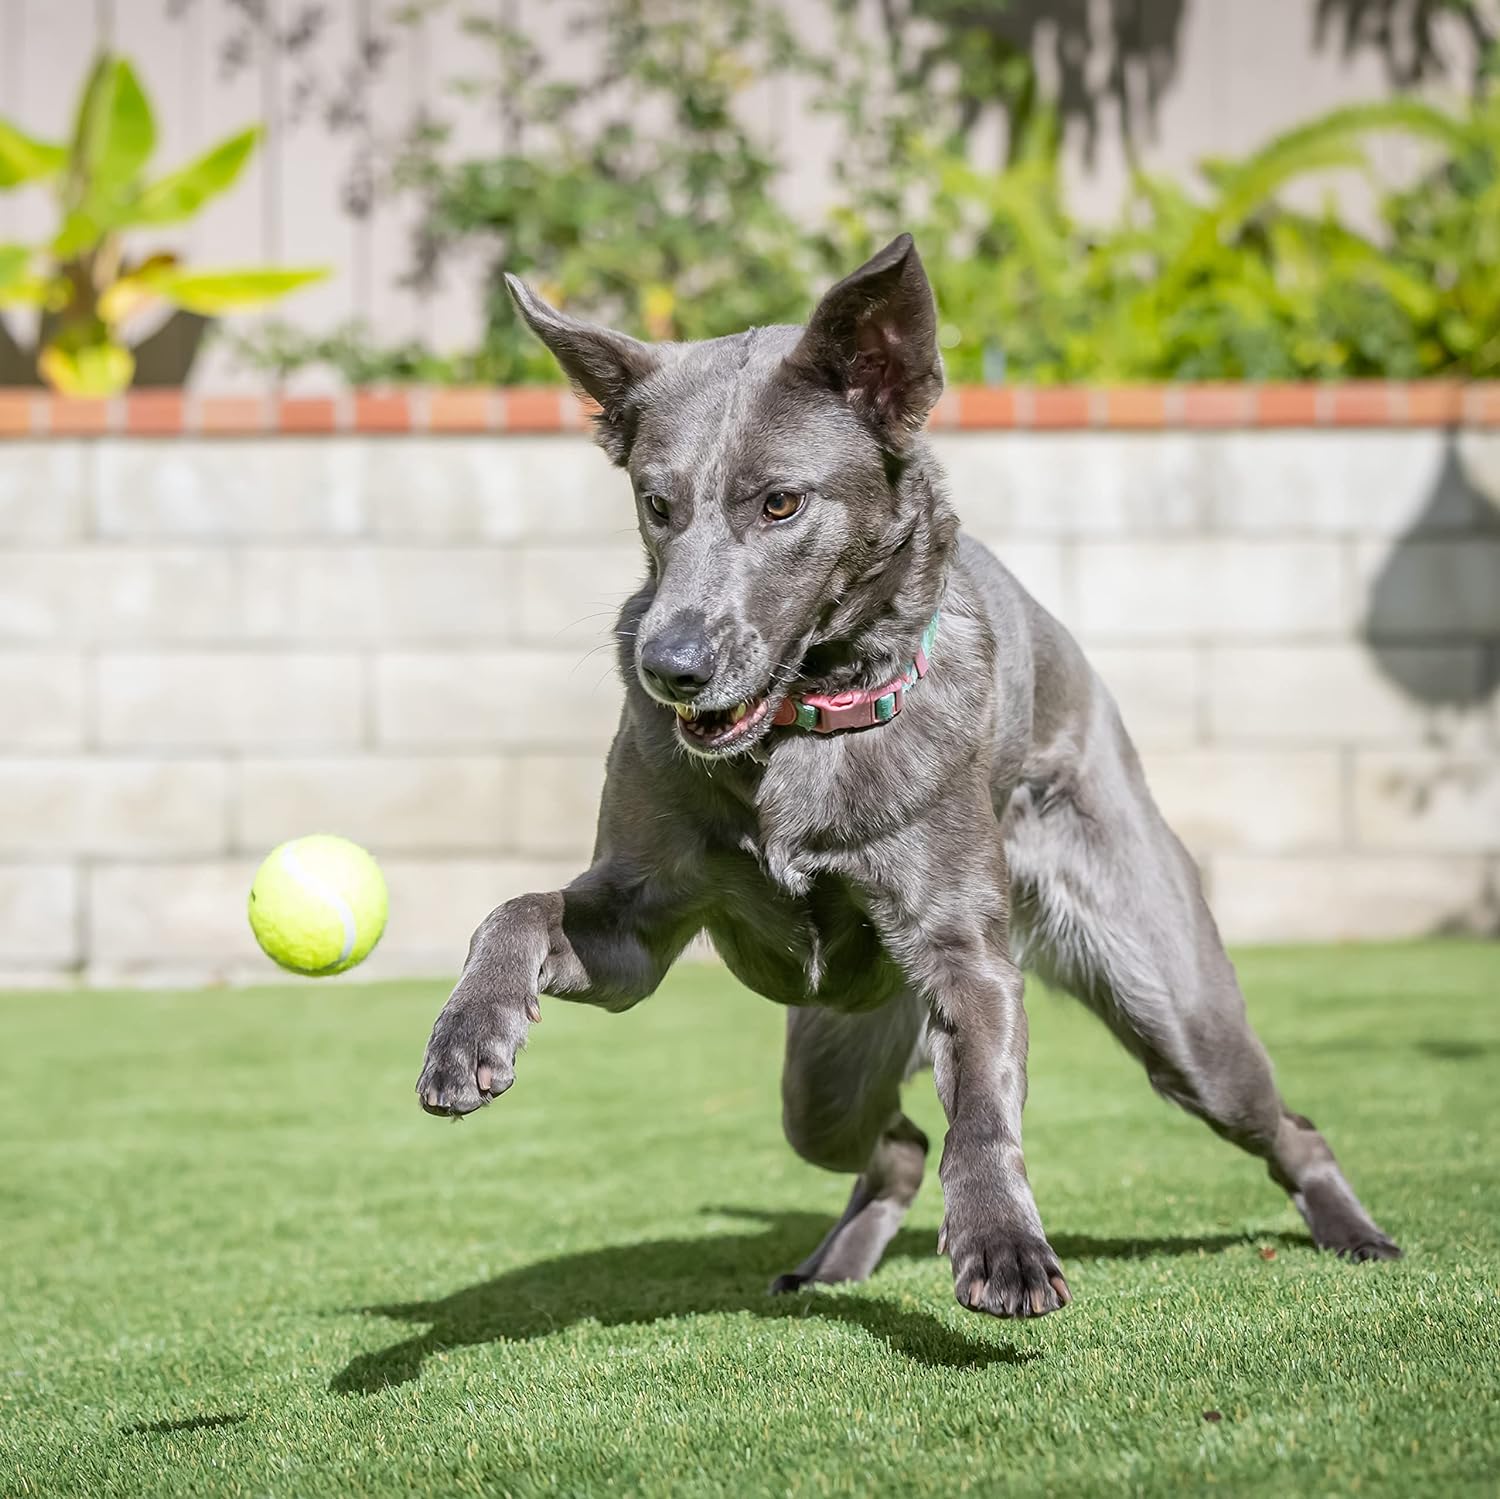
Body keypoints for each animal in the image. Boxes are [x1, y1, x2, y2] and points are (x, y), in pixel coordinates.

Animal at [417, 231, 1398, 1314]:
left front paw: (1004, 1241)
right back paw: (830, 1264)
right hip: (825, 1074)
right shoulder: (636, 926)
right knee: (892, 1144)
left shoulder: (970, 961)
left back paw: (1354, 1230)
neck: (803, 731)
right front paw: (468, 1037)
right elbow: (514, 908)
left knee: (1281, 1122)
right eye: (656, 504)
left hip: (1179, 1015)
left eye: (781, 501)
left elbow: (984, 1118)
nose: (669, 666)